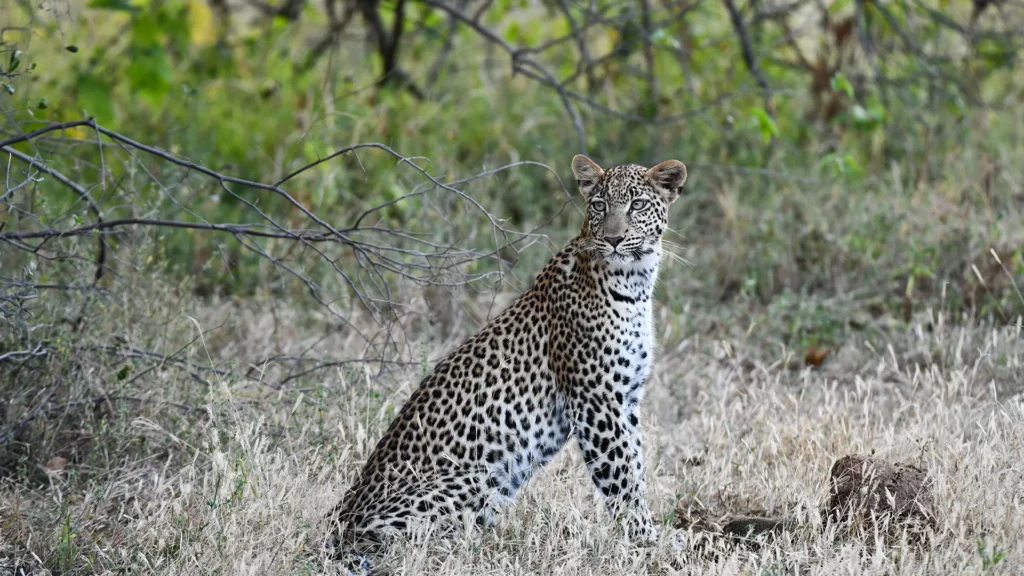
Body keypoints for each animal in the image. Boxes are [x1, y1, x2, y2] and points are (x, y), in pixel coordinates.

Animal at [328, 155, 688, 565]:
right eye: (599, 206)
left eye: (637, 205)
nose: (613, 239)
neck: (635, 281)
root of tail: (339, 518)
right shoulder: (596, 400)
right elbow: (622, 477)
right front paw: (647, 541)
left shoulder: (625, 398)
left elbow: (636, 465)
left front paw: (651, 536)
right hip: (476, 480)